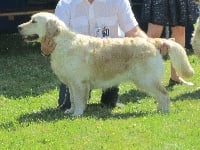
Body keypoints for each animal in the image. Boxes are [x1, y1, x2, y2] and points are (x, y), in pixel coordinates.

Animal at [17, 12, 194, 116]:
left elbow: (79, 100)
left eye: (33, 21)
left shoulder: (79, 83)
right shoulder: (72, 83)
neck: (63, 43)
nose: (18, 27)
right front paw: (70, 111)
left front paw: (77, 114)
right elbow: (73, 99)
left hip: (146, 79)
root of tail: (153, 41)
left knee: (164, 94)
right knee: (160, 95)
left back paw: (164, 112)